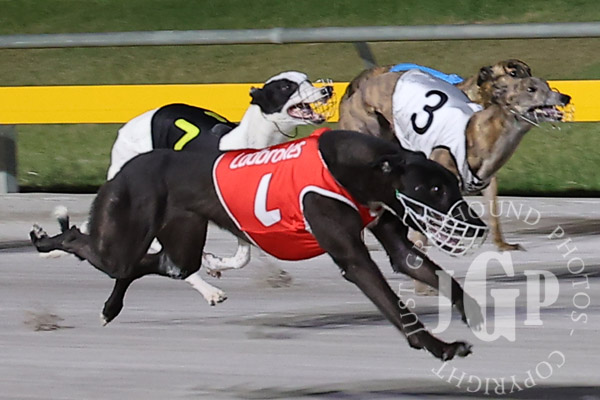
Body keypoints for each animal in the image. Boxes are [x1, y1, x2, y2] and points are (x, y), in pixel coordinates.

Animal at [31, 128, 488, 361]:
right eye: (433, 188)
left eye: (454, 184)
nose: (477, 225)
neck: (353, 167)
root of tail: (127, 166)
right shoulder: (353, 258)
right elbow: (395, 305)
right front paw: (440, 347)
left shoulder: (391, 237)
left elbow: (431, 272)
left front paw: (477, 315)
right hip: (121, 236)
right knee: (88, 244)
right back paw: (47, 238)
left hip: (181, 243)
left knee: (159, 266)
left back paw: (113, 307)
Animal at [338, 60, 571, 252]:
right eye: (514, 74)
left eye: (531, 73)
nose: (563, 96)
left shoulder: (487, 180)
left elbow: (493, 214)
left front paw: (502, 245)